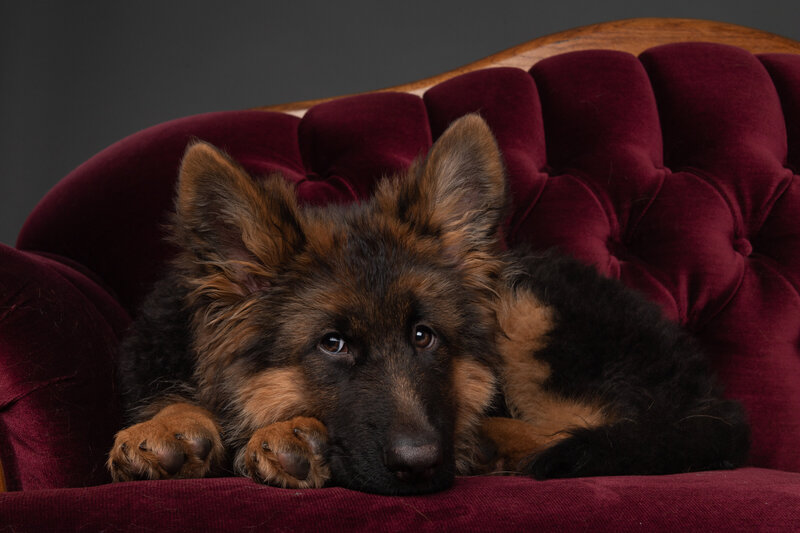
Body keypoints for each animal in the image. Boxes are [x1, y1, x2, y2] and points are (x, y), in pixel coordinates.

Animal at [108, 114, 752, 492]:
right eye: (332, 344)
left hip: (524, 308)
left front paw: (284, 433)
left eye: (424, 336)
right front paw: (170, 425)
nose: (420, 464)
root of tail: (712, 395)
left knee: (589, 428)